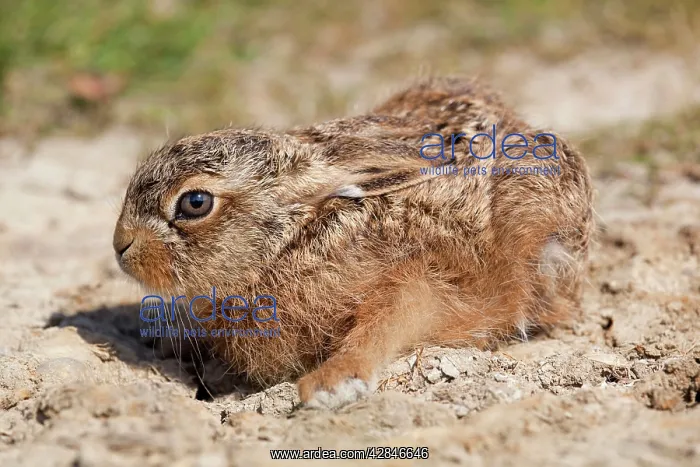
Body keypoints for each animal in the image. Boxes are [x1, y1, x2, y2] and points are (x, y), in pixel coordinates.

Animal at [113, 76, 593, 409]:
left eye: (195, 203)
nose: (121, 246)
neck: (294, 239)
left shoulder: (424, 276)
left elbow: (387, 321)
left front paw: (332, 384)